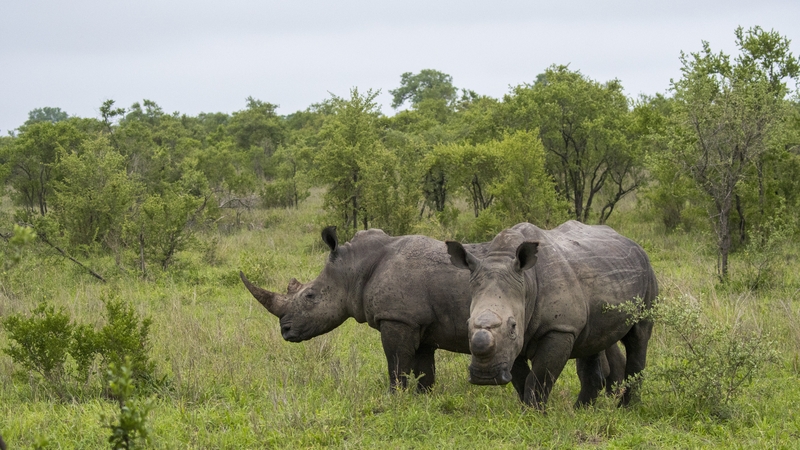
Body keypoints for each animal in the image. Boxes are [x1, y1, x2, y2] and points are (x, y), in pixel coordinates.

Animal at [241, 226, 626, 399]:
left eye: (310, 296)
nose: (286, 331)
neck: (355, 269)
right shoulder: (419, 323)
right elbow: (423, 368)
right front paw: (422, 398)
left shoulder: (397, 319)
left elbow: (396, 363)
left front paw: (395, 398)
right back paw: (612, 394)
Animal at [446, 221, 657, 408]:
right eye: (467, 324)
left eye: (513, 326)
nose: (485, 377)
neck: (527, 282)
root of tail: (632, 242)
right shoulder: (515, 343)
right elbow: (522, 379)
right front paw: (527, 412)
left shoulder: (560, 329)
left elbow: (539, 379)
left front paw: (535, 415)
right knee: (593, 342)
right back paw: (581, 411)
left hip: (647, 272)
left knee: (638, 336)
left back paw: (627, 409)